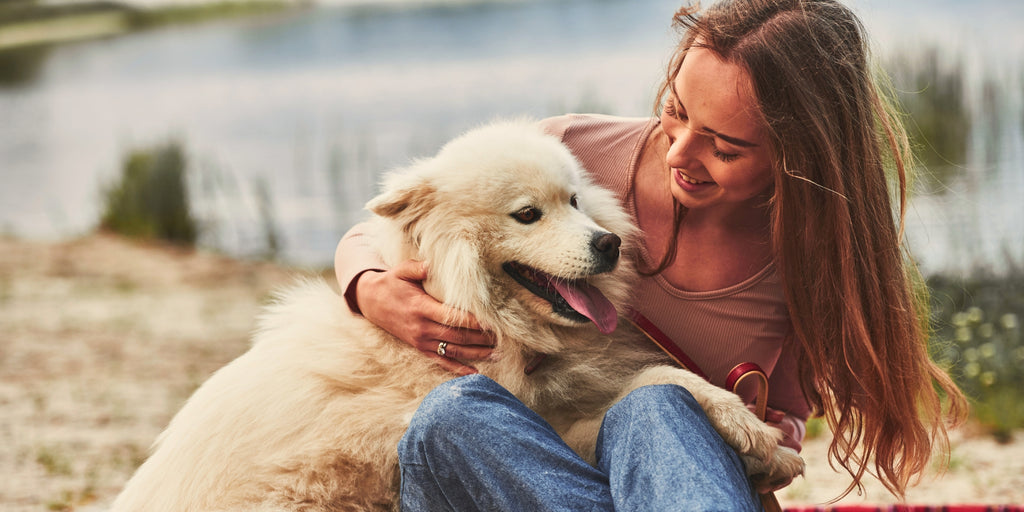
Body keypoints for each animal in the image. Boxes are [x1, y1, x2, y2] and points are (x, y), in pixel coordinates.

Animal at [110, 120, 798, 512]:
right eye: (528, 214)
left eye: (575, 200)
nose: (609, 244)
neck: (490, 323)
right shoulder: (538, 418)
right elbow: (657, 383)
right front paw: (762, 439)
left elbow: (663, 382)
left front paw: (759, 439)